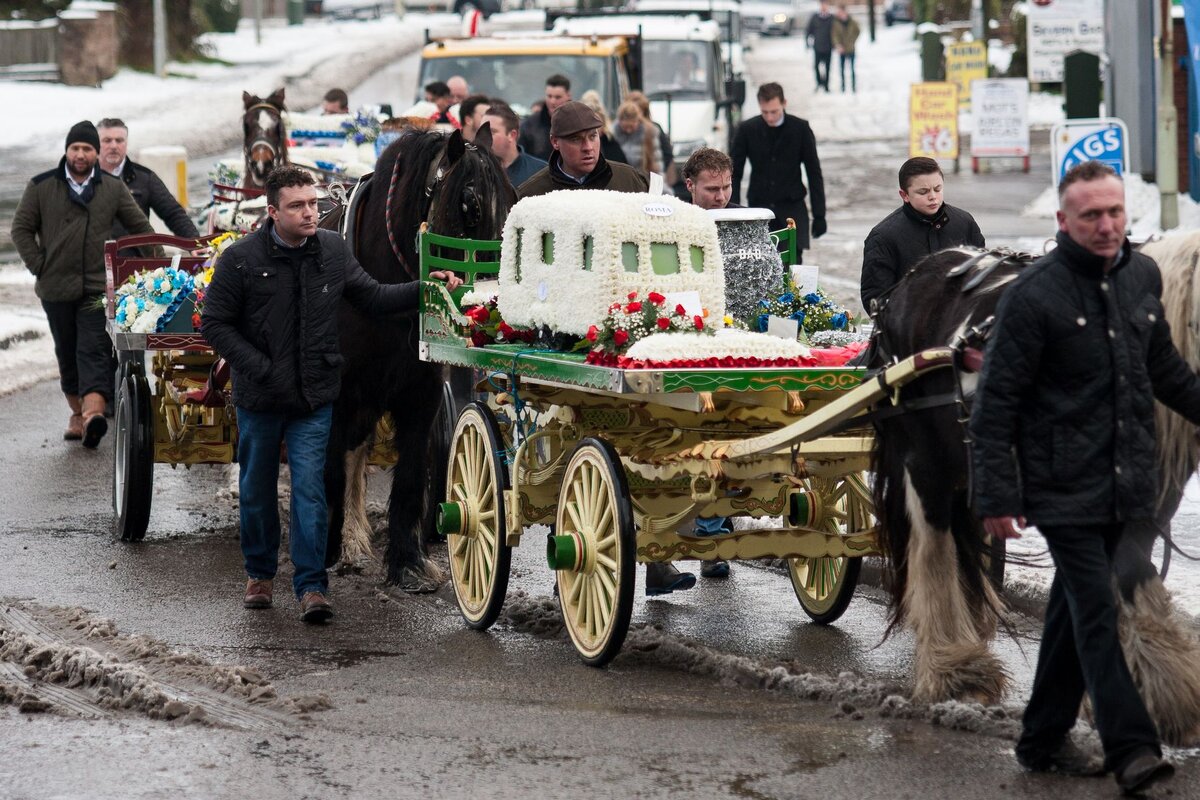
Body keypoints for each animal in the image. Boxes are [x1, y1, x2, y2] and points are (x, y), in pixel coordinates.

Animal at [324, 123, 516, 587]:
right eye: (469, 204)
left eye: (513, 196)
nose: (495, 303)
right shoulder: (337, 393)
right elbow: (329, 469)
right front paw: (328, 548)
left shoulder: (422, 392)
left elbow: (411, 473)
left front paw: (407, 561)